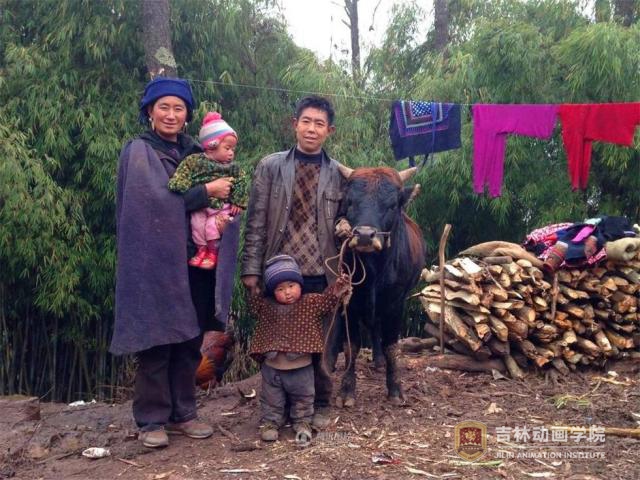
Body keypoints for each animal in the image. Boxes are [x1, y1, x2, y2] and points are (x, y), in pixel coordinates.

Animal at [326, 165, 426, 406]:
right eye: (350, 201)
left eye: (392, 205)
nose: (364, 236)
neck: (374, 270)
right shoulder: (350, 302)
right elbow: (351, 345)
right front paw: (346, 390)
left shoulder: (395, 303)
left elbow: (392, 346)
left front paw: (395, 389)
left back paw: (379, 361)